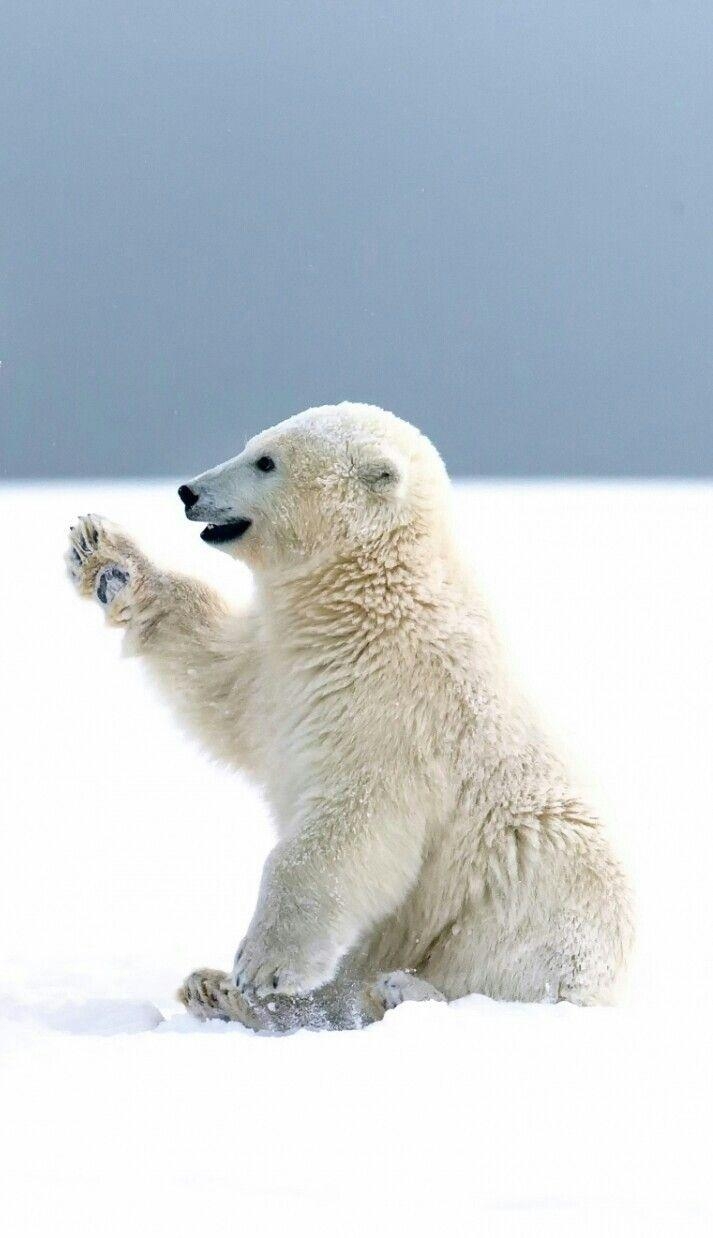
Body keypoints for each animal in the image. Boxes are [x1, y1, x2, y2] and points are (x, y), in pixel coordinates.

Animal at [66, 401, 631, 1030]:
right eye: (252, 446)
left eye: (266, 461)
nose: (189, 491)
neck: (368, 598)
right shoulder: (283, 663)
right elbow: (218, 680)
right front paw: (105, 556)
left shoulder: (396, 705)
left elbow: (351, 826)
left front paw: (263, 965)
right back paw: (216, 990)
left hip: (533, 892)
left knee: (508, 965)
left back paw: (400, 991)